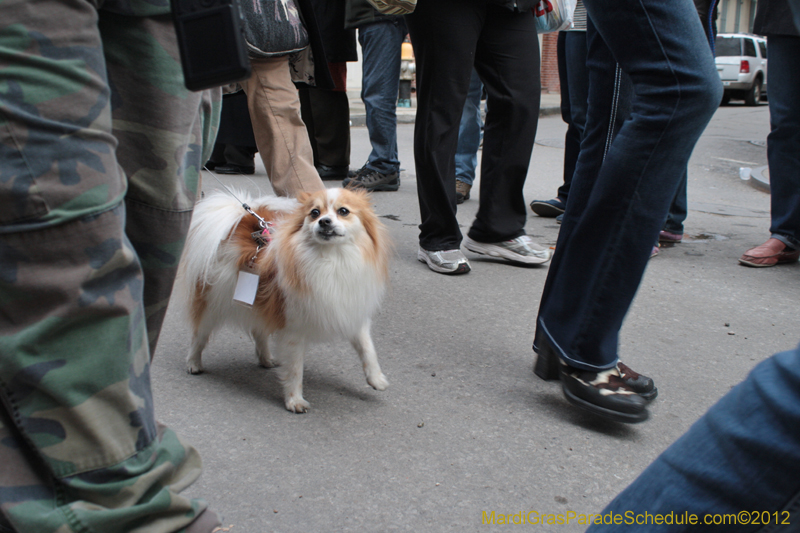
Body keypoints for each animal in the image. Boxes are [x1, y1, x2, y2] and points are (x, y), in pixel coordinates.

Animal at [181, 187, 394, 412]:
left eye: (343, 211)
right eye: (314, 213)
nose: (324, 221)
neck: (332, 258)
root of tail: (237, 220)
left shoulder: (352, 310)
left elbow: (368, 349)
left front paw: (376, 379)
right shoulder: (294, 330)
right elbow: (294, 370)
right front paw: (295, 401)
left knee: (258, 330)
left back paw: (266, 359)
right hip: (212, 304)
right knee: (199, 335)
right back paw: (193, 363)